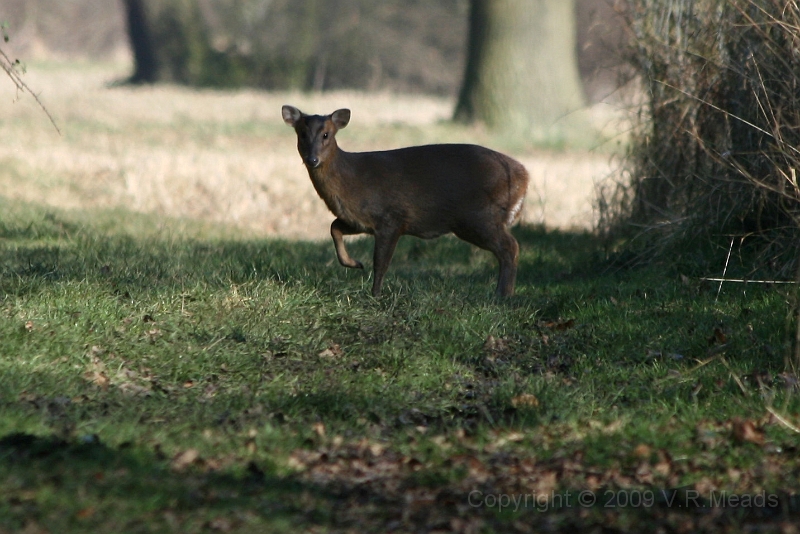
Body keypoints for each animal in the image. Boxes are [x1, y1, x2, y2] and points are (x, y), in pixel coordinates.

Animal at [281, 105, 529, 298]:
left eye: (326, 135)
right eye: (301, 134)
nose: (312, 159)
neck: (353, 180)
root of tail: (523, 176)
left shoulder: (391, 217)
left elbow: (380, 262)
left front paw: (374, 295)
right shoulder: (360, 221)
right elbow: (334, 228)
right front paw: (354, 263)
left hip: (478, 216)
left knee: (511, 246)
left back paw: (502, 296)